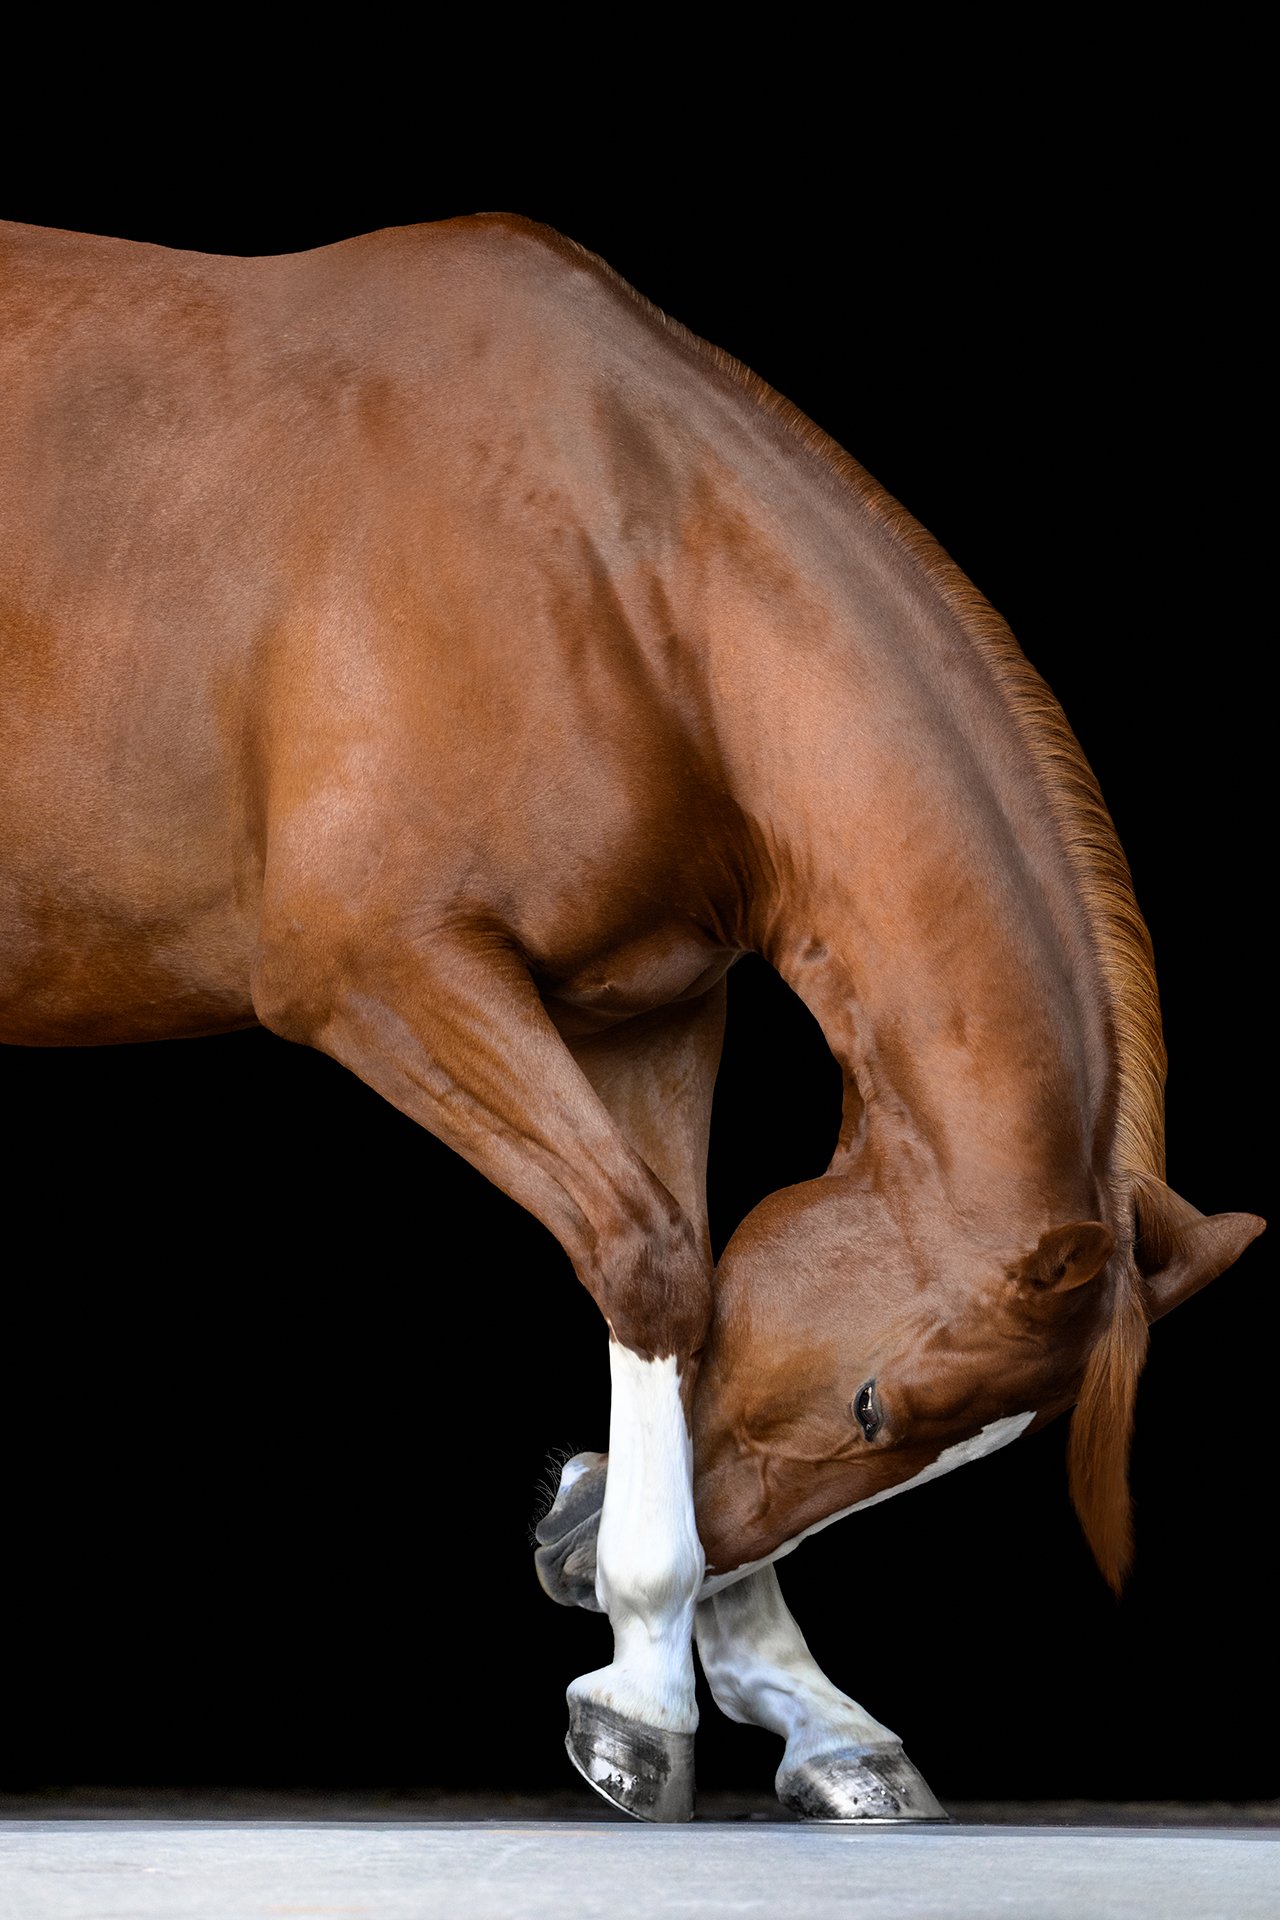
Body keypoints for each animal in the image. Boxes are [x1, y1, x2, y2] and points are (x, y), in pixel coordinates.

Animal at [0, 212, 1261, 1823]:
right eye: (876, 1411)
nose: (558, 1548)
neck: (614, 574)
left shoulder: (644, 1013)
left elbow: (692, 1282)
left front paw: (803, 1706)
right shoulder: (383, 974)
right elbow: (654, 1267)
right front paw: (644, 1693)